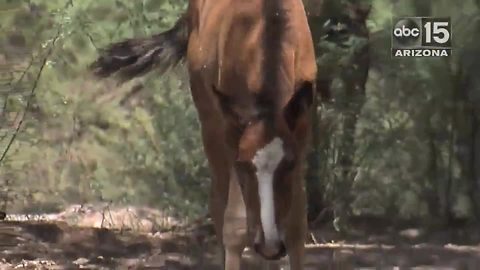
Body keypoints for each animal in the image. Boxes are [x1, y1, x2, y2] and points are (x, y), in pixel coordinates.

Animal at [90, 1, 316, 268]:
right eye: (243, 166)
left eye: (289, 164)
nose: (269, 246)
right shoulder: (230, 133)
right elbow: (234, 225)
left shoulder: (300, 133)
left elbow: (296, 225)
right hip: (210, 126)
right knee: (218, 205)